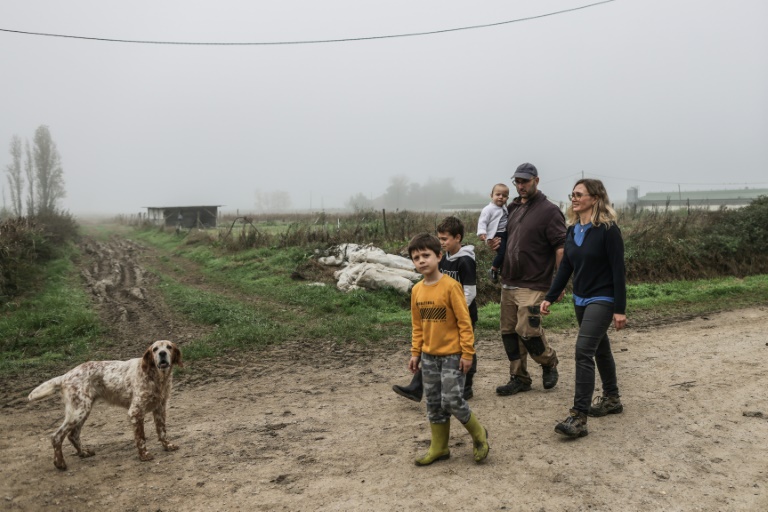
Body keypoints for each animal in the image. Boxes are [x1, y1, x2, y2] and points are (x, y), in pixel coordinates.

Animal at [27, 340, 183, 472]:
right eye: (155, 349)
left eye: (169, 347)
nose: (162, 354)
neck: (155, 377)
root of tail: (65, 376)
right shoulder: (136, 411)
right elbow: (141, 438)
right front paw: (144, 455)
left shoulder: (160, 408)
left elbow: (162, 432)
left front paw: (167, 446)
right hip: (79, 411)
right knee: (57, 436)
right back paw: (60, 463)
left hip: (83, 410)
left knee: (73, 435)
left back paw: (83, 453)